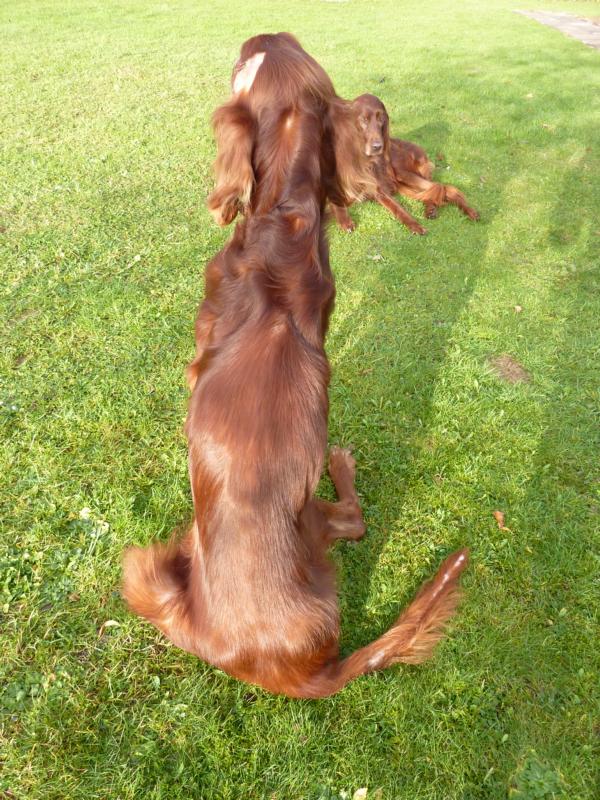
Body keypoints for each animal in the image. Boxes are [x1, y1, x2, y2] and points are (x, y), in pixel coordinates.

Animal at [328, 93, 478, 233]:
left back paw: (470, 212)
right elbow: (336, 202)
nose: (378, 146)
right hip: (403, 185)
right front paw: (345, 221)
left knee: (444, 188)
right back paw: (431, 209)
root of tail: (420, 149)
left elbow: (398, 208)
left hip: (403, 173)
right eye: (364, 120)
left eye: (381, 119)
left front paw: (414, 224)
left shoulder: (379, 189)